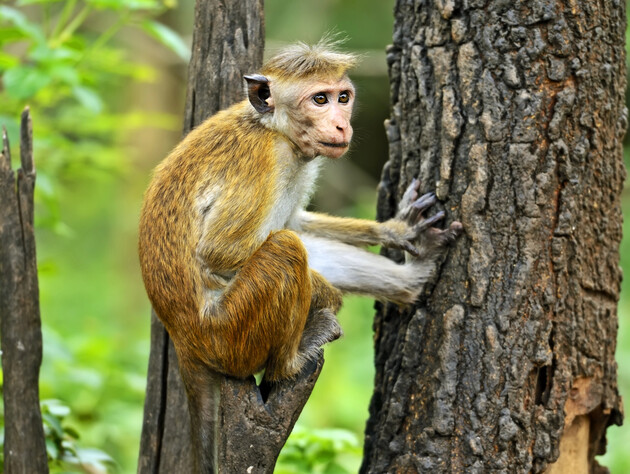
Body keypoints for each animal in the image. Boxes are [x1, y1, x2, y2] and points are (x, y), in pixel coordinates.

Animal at [138, 39, 464, 470]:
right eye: (319, 99)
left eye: (343, 98)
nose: (342, 124)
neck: (272, 128)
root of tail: (184, 339)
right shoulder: (264, 159)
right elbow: (221, 252)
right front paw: (330, 296)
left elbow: (297, 222)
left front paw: (398, 231)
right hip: (229, 335)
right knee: (285, 249)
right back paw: (292, 357)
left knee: (294, 242)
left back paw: (410, 281)